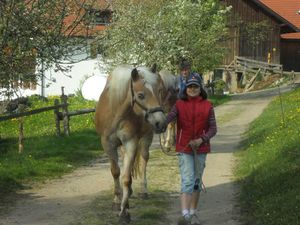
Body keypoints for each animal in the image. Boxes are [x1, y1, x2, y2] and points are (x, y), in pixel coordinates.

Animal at [95, 64, 176, 222]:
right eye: (140, 95)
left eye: (159, 90)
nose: (161, 123)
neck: (116, 113)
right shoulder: (108, 144)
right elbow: (116, 172)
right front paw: (117, 201)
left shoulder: (130, 142)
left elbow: (126, 177)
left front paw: (124, 212)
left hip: (145, 139)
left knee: (143, 161)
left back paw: (143, 191)